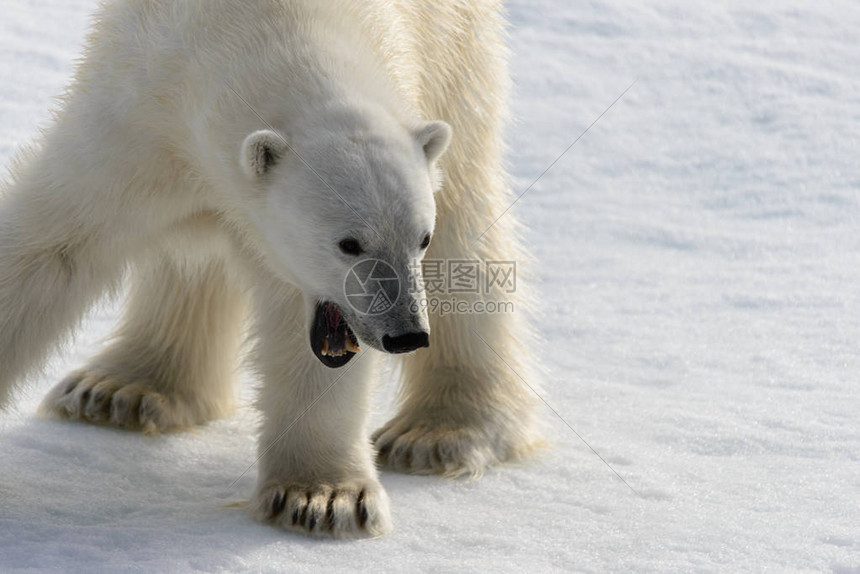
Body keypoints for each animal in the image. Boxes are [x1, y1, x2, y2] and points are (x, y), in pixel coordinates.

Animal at [0, 1, 536, 540]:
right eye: (349, 243)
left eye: (419, 237)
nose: (405, 333)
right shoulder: (136, 111)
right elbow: (52, 246)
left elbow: (302, 335)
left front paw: (323, 498)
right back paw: (121, 389)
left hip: (461, 56)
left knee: (466, 219)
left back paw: (436, 433)